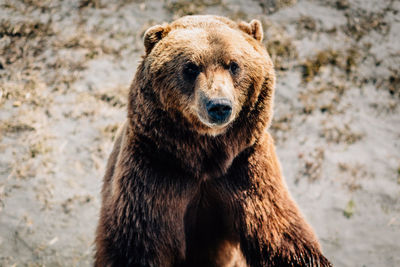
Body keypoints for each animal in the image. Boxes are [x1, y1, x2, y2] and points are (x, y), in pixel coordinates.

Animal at [94, 15, 332, 267]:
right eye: (190, 67)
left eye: (234, 64)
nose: (218, 105)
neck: (206, 158)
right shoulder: (156, 169)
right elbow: (137, 240)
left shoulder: (246, 168)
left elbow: (280, 232)